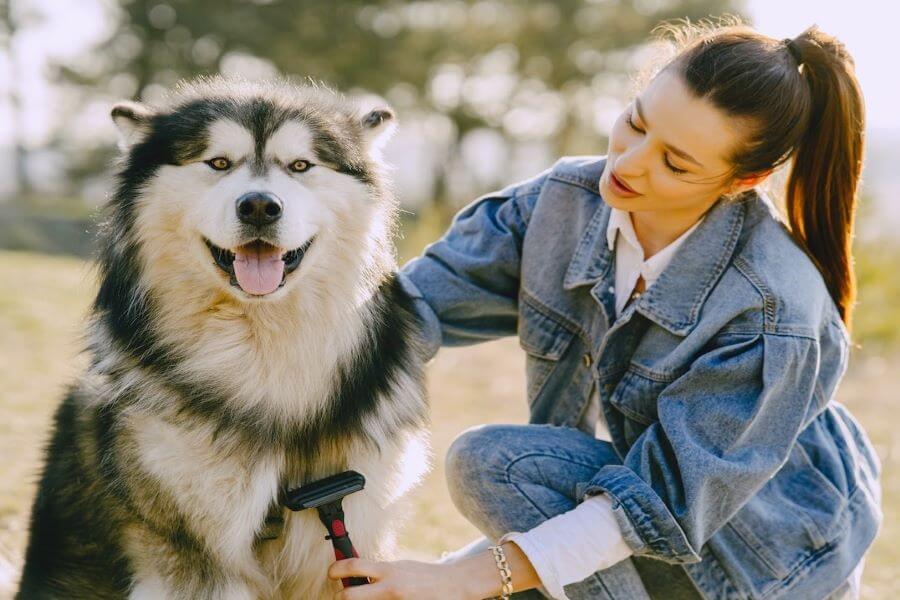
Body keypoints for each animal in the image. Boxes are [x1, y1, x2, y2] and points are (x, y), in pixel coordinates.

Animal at [16, 77, 432, 596]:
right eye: (218, 163)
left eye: (300, 166)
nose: (259, 205)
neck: (261, 347)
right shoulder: (193, 553)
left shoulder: (349, 533)